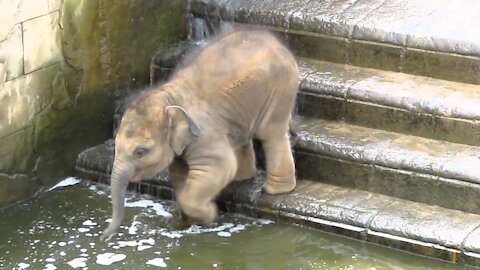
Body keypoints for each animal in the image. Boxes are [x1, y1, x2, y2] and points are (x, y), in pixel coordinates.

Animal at [104, 29, 300, 239]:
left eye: (140, 151)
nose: (104, 237)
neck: (168, 97)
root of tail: (277, 42)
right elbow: (181, 177)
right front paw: (187, 221)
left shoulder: (203, 133)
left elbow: (221, 165)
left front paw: (210, 215)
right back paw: (242, 178)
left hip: (282, 87)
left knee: (270, 133)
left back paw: (275, 190)